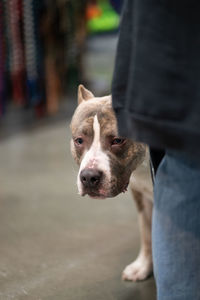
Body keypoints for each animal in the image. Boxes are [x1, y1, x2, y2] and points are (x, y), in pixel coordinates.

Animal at [70, 84, 153, 282]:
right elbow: (146, 231)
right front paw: (143, 266)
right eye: (79, 140)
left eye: (117, 140)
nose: (89, 177)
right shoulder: (142, 196)